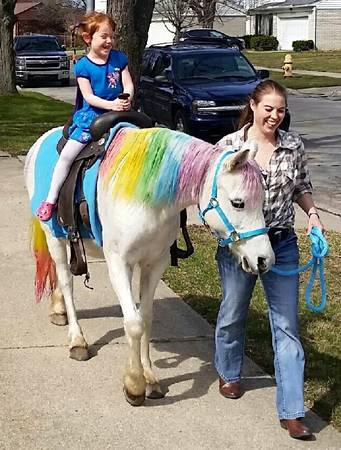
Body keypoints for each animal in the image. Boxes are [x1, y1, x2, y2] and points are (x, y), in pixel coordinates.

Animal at [25, 125, 274, 406]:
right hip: (52, 234)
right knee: (66, 281)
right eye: (238, 203)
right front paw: (134, 384)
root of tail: (43, 139)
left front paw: (150, 377)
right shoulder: (119, 265)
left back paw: (58, 309)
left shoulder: (155, 264)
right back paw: (77, 340)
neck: (150, 198)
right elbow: (133, 323)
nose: (264, 259)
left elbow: (145, 318)